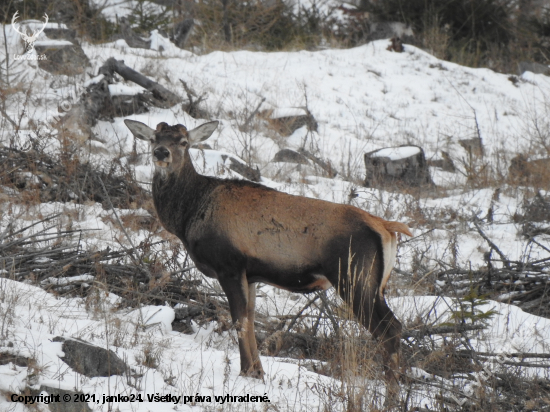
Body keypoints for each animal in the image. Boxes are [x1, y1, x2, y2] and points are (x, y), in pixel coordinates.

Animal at [125, 120, 414, 398]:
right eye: (153, 138)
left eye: (184, 142)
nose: (161, 153)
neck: (188, 216)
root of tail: (386, 228)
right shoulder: (251, 274)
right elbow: (251, 319)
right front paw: (258, 372)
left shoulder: (229, 265)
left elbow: (239, 320)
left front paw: (247, 372)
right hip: (374, 284)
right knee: (394, 327)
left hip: (353, 276)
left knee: (389, 329)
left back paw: (391, 398)